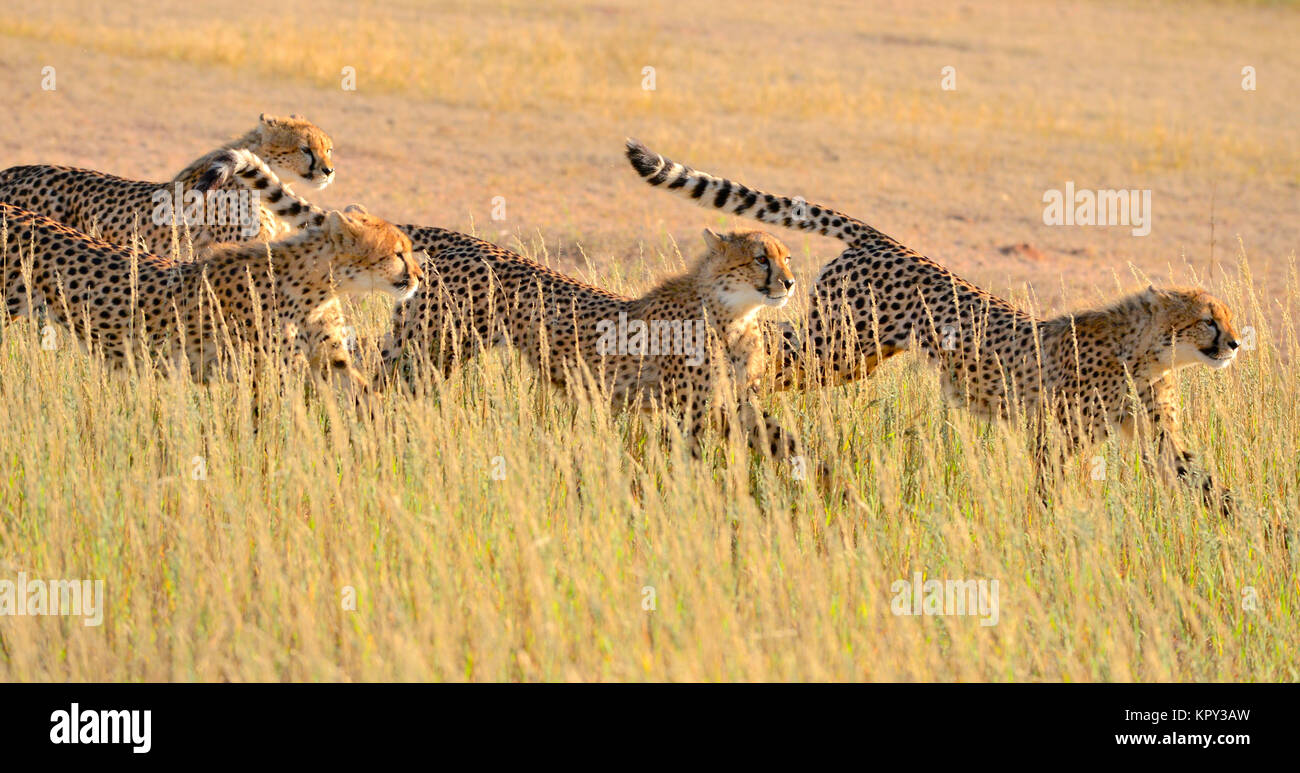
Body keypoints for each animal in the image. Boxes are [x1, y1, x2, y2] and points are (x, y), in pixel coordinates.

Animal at [626, 139, 1237, 509]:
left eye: (1227, 318)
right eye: (1208, 320)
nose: (1234, 343)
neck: (1149, 354)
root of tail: (884, 239)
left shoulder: (1157, 436)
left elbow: (1200, 479)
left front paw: (1243, 529)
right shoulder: (1055, 432)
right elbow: (1049, 484)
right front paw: (1047, 526)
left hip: (857, 355)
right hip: (837, 345)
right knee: (768, 345)